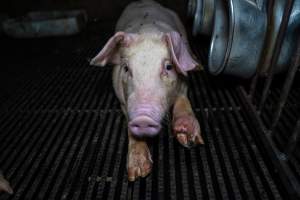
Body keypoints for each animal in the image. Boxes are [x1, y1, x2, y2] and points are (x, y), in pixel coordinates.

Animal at [90, 0, 204, 181]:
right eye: (126, 68)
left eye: (169, 67)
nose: (142, 118)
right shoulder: (123, 101)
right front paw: (137, 173)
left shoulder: (184, 81)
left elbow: (183, 98)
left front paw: (187, 136)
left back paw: (199, 65)